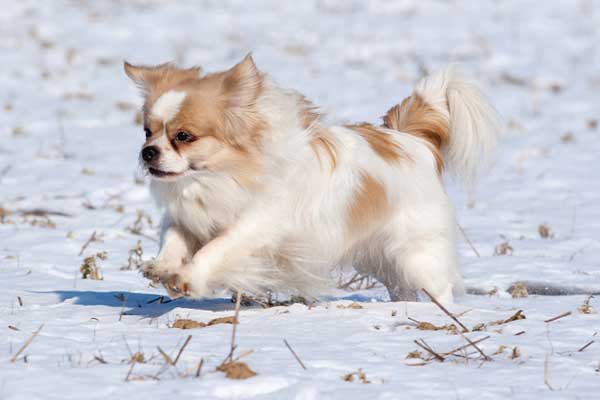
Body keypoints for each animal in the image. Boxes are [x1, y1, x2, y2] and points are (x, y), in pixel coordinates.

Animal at [125, 54, 502, 304]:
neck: (217, 178)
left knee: (439, 288)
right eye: (147, 132)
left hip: (417, 256)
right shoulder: (186, 215)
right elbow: (173, 237)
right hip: (383, 258)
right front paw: (163, 268)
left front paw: (187, 278)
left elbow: (215, 250)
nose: (148, 152)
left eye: (184, 136)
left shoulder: (255, 227)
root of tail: (412, 141)